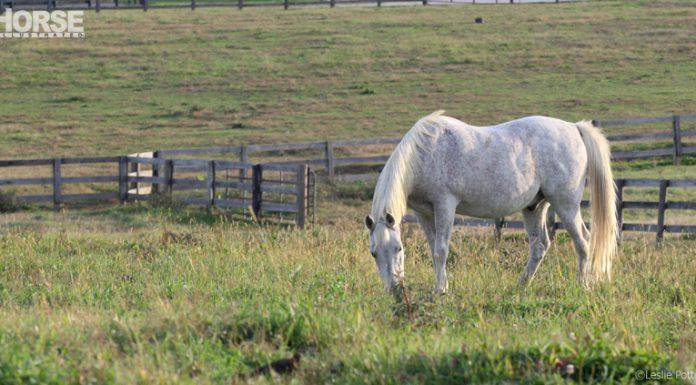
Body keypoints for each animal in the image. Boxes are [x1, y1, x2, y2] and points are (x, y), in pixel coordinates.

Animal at [368, 111, 616, 294]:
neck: (424, 153)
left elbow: (441, 250)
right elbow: (433, 249)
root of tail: (574, 128)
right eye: (373, 253)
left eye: (398, 248)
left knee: (583, 242)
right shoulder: (424, 213)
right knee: (539, 246)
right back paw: (520, 287)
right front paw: (441, 286)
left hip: (566, 205)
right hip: (534, 207)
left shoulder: (445, 205)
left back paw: (583, 285)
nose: (394, 289)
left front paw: (440, 291)